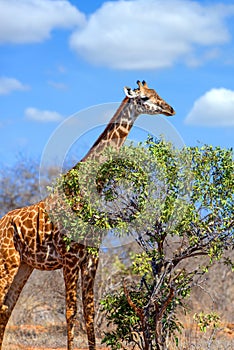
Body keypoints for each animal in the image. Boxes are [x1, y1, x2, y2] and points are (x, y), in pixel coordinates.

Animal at [0, 80, 175, 348]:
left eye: (157, 94)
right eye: (144, 98)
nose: (170, 109)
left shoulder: (92, 258)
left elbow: (89, 312)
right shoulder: (70, 259)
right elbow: (70, 312)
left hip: (23, 266)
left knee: (6, 308)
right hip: (6, 262)